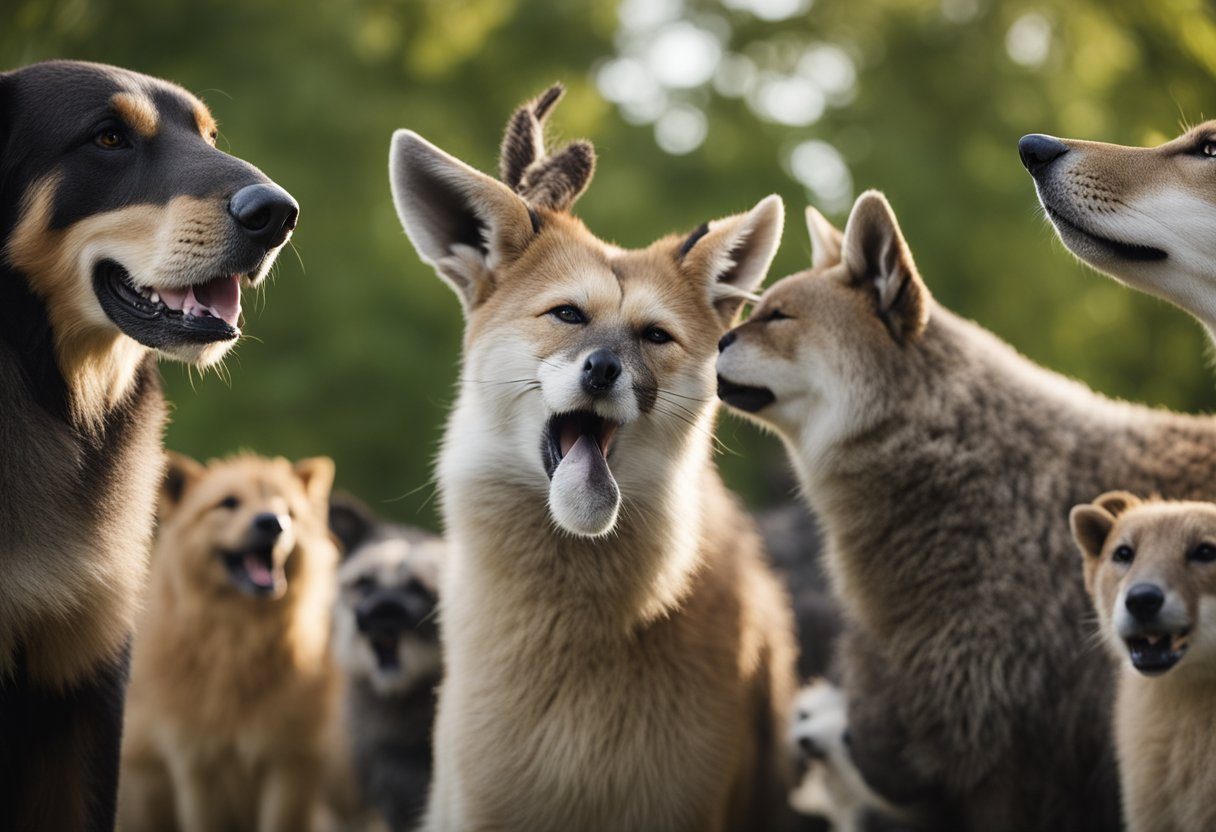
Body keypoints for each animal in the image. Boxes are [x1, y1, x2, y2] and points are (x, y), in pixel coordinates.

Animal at [118, 454, 340, 832]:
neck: (239, 642)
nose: (272, 523)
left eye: (289, 511)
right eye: (229, 503)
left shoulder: (289, 763)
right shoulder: (198, 765)